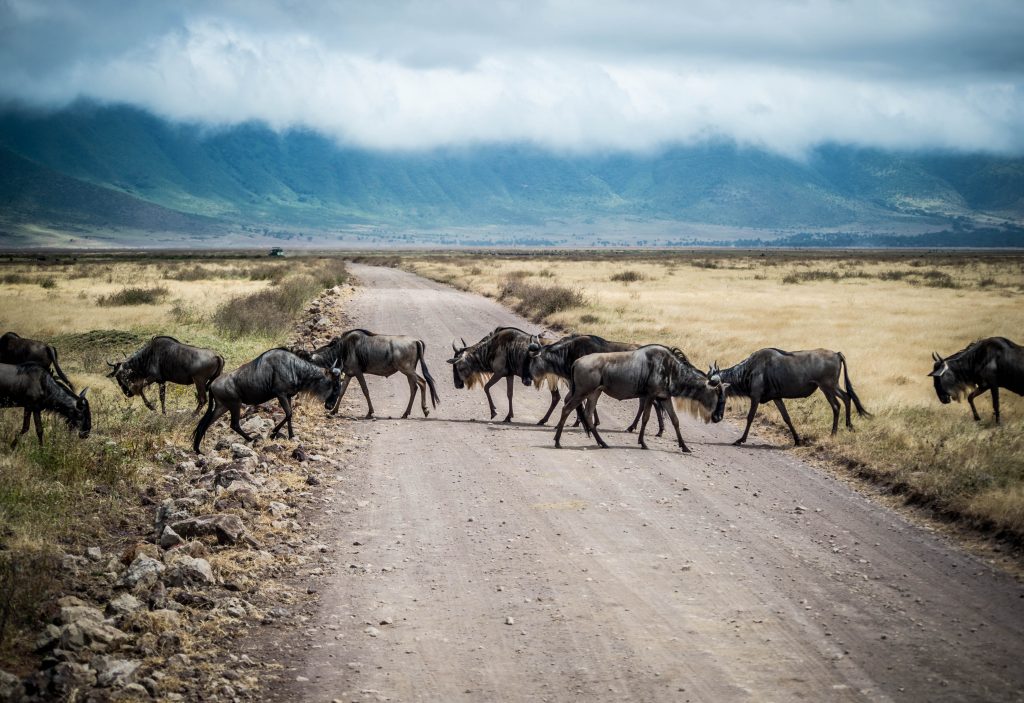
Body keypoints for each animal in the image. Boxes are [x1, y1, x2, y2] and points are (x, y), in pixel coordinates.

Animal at [191, 349, 341, 453]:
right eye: (335, 386)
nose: (330, 406)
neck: (295, 368)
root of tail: (211, 385)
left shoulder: (288, 396)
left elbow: (290, 415)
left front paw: (291, 435)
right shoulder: (281, 394)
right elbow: (289, 414)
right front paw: (273, 433)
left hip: (222, 407)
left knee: (205, 424)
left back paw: (197, 450)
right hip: (234, 405)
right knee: (234, 424)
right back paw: (252, 439)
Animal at [298, 329, 440, 419]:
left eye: (308, 361)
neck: (343, 349)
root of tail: (416, 340)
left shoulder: (358, 372)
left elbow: (365, 390)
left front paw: (370, 412)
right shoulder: (349, 374)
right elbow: (342, 391)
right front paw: (334, 411)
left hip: (407, 370)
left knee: (422, 383)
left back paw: (425, 410)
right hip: (409, 372)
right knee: (414, 387)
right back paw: (406, 413)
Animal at [526, 334, 666, 434]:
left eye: (532, 361)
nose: (528, 378)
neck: (568, 353)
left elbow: (575, 401)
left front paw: (583, 422)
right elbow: (579, 402)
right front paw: (585, 422)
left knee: (653, 404)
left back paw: (652, 429)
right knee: (651, 404)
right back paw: (648, 428)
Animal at [553, 345, 727, 452]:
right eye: (717, 393)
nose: (718, 417)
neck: (671, 368)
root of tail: (576, 362)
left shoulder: (664, 398)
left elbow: (675, 420)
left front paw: (684, 447)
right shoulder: (650, 396)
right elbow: (646, 418)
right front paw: (642, 443)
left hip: (594, 393)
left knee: (588, 415)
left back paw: (602, 443)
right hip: (582, 393)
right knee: (566, 409)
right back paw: (557, 442)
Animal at [714, 348, 869, 446]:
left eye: (715, 390)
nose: (716, 418)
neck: (749, 369)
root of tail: (837, 354)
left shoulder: (755, 397)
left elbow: (750, 417)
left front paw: (741, 439)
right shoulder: (776, 398)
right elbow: (786, 418)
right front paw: (797, 440)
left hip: (828, 387)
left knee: (839, 403)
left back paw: (835, 433)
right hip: (829, 387)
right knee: (845, 399)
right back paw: (848, 427)